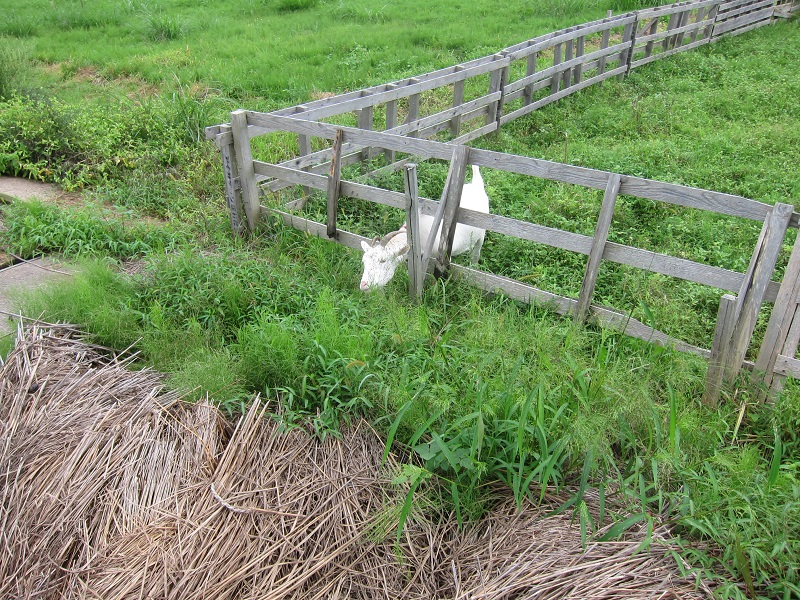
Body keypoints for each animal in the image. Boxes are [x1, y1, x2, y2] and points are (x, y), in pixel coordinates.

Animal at [359, 165, 489, 291]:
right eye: (364, 261)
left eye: (383, 260)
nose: (364, 285)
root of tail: (476, 184)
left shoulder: (444, 256)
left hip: (481, 235)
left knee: (476, 253)